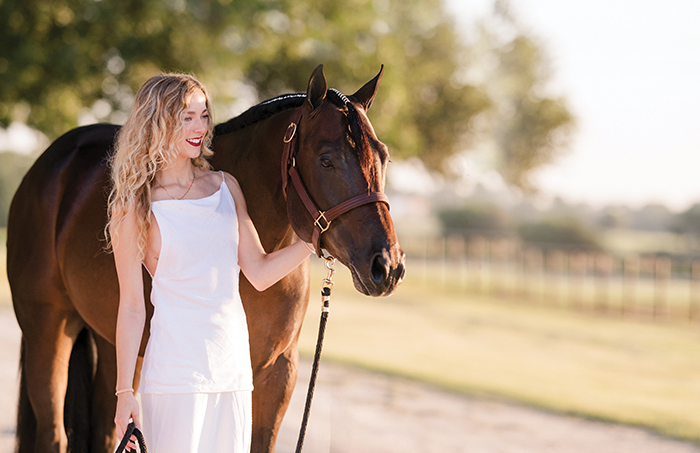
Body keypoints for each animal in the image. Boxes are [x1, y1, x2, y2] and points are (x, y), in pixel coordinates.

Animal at [7, 64, 405, 452]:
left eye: (383, 156)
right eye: (326, 160)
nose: (387, 267)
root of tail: (51, 164)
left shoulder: (279, 373)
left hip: (115, 343)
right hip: (49, 328)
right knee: (54, 434)